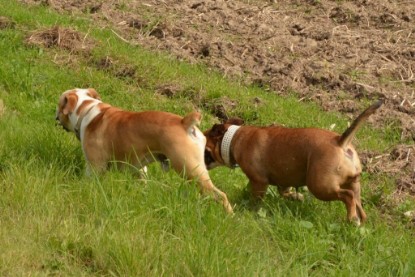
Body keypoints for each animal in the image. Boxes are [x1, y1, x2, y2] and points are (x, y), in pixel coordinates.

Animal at [56, 87, 234, 212]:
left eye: (59, 104)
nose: (55, 115)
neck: (85, 108)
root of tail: (184, 122)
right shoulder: (139, 168)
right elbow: (142, 181)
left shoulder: (95, 165)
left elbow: (90, 180)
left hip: (188, 168)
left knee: (220, 195)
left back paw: (228, 215)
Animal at [205, 100, 384, 223]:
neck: (233, 138)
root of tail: (340, 142)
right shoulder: (283, 180)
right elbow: (284, 192)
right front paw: (296, 197)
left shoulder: (259, 181)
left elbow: (256, 198)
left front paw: (250, 209)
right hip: (354, 184)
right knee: (358, 203)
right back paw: (358, 222)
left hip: (320, 186)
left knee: (347, 196)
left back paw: (351, 219)